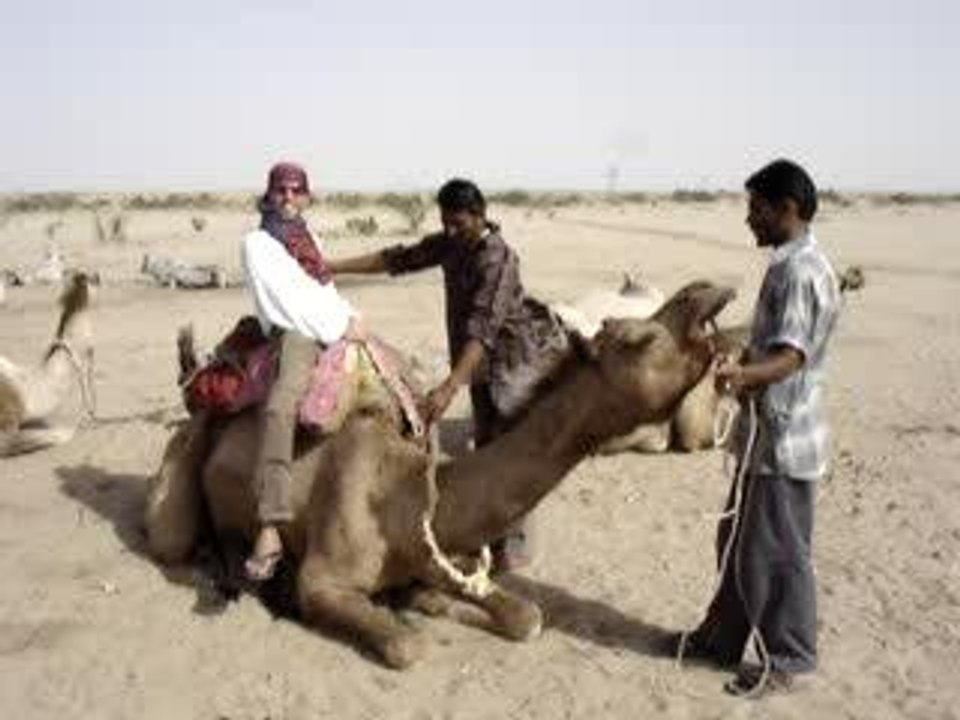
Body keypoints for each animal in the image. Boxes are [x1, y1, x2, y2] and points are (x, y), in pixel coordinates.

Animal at [146, 280, 737, 668]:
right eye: (638, 338)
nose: (708, 291)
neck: (405, 498)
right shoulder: (325, 579)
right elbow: (408, 645)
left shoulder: (442, 556)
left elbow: (527, 618)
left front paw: (424, 602)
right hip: (182, 471)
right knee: (176, 540)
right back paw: (229, 572)